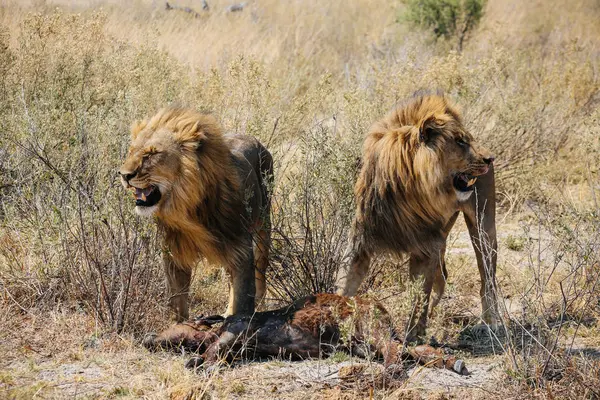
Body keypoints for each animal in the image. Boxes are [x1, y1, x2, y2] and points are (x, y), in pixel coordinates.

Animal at [118, 107, 274, 322]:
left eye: (152, 154)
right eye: (131, 151)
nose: (124, 175)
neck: (189, 209)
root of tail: (253, 138)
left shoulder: (240, 249)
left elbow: (242, 301)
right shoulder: (174, 253)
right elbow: (177, 303)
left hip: (263, 225)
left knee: (260, 267)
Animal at [336, 93, 500, 340]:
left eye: (467, 140)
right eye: (460, 141)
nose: (490, 159)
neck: (410, 190)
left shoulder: (425, 247)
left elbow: (418, 295)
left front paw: (414, 335)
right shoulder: (360, 242)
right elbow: (344, 286)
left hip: (482, 228)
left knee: (487, 279)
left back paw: (489, 323)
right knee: (443, 275)